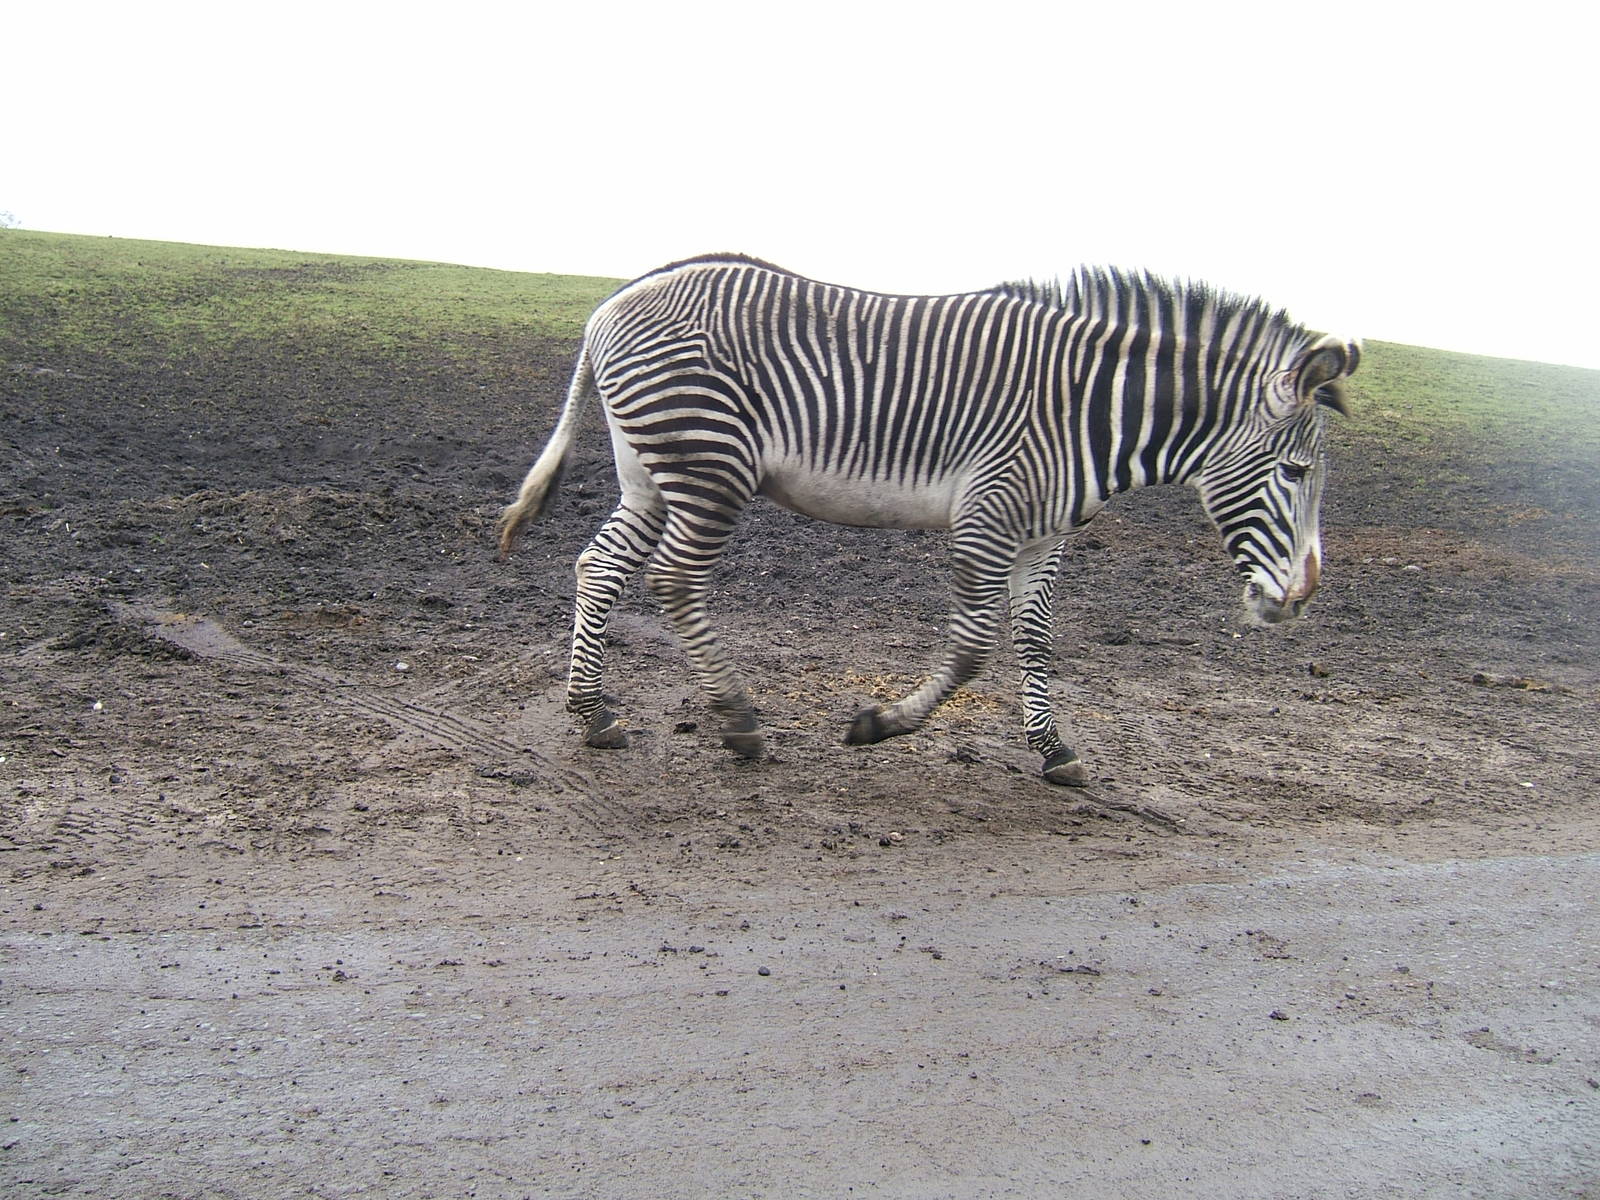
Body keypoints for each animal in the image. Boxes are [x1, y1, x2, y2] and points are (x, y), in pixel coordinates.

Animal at [497, 254, 1358, 786]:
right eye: (1295, 473)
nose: (1301, 598)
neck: (1091, 411)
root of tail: (613, 303)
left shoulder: (1044, 533)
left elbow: (1035, 638)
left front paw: (1054, 749)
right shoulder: (988, 515)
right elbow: (974, 647)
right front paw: (880, 724)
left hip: (653, 473)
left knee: (600, 567)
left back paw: (592, 712)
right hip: (709, 465)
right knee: (675, 580)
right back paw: (738, 720)